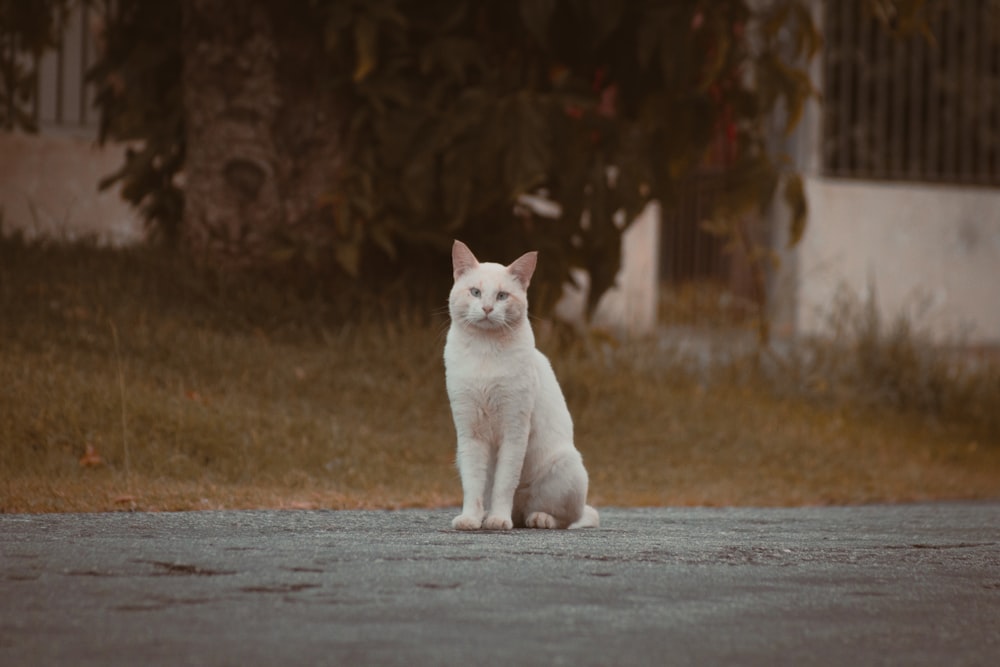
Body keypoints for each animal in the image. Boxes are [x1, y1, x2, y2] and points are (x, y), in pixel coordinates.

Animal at [446, 240, 600, 532]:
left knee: (566, 517)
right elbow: (473, 485)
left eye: (502, 296)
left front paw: (498, 520)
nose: (487, 309)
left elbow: (504, 484)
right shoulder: (469, 432)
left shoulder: (514, 430)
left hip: (567, 465)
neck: (485, 351)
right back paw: (488, 516)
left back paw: (536, 519)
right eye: (475, 292)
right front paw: (470, 519)